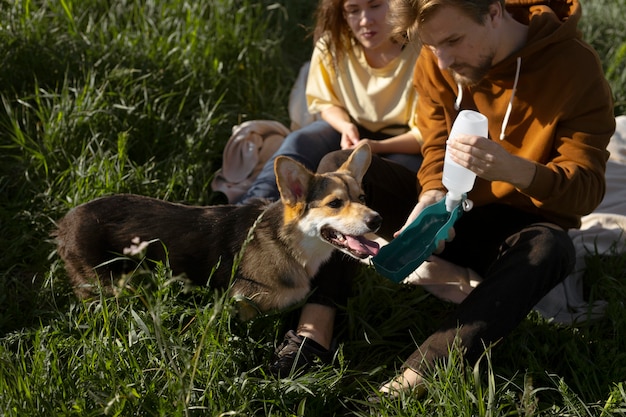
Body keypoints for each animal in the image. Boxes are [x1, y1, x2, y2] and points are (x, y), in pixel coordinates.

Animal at [56, 143, 380, 318]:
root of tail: (64, 223)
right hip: (111, 287)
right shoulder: (245, 307)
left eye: (363, 197)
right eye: (335, 203)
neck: (288, 244)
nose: (377, 220)